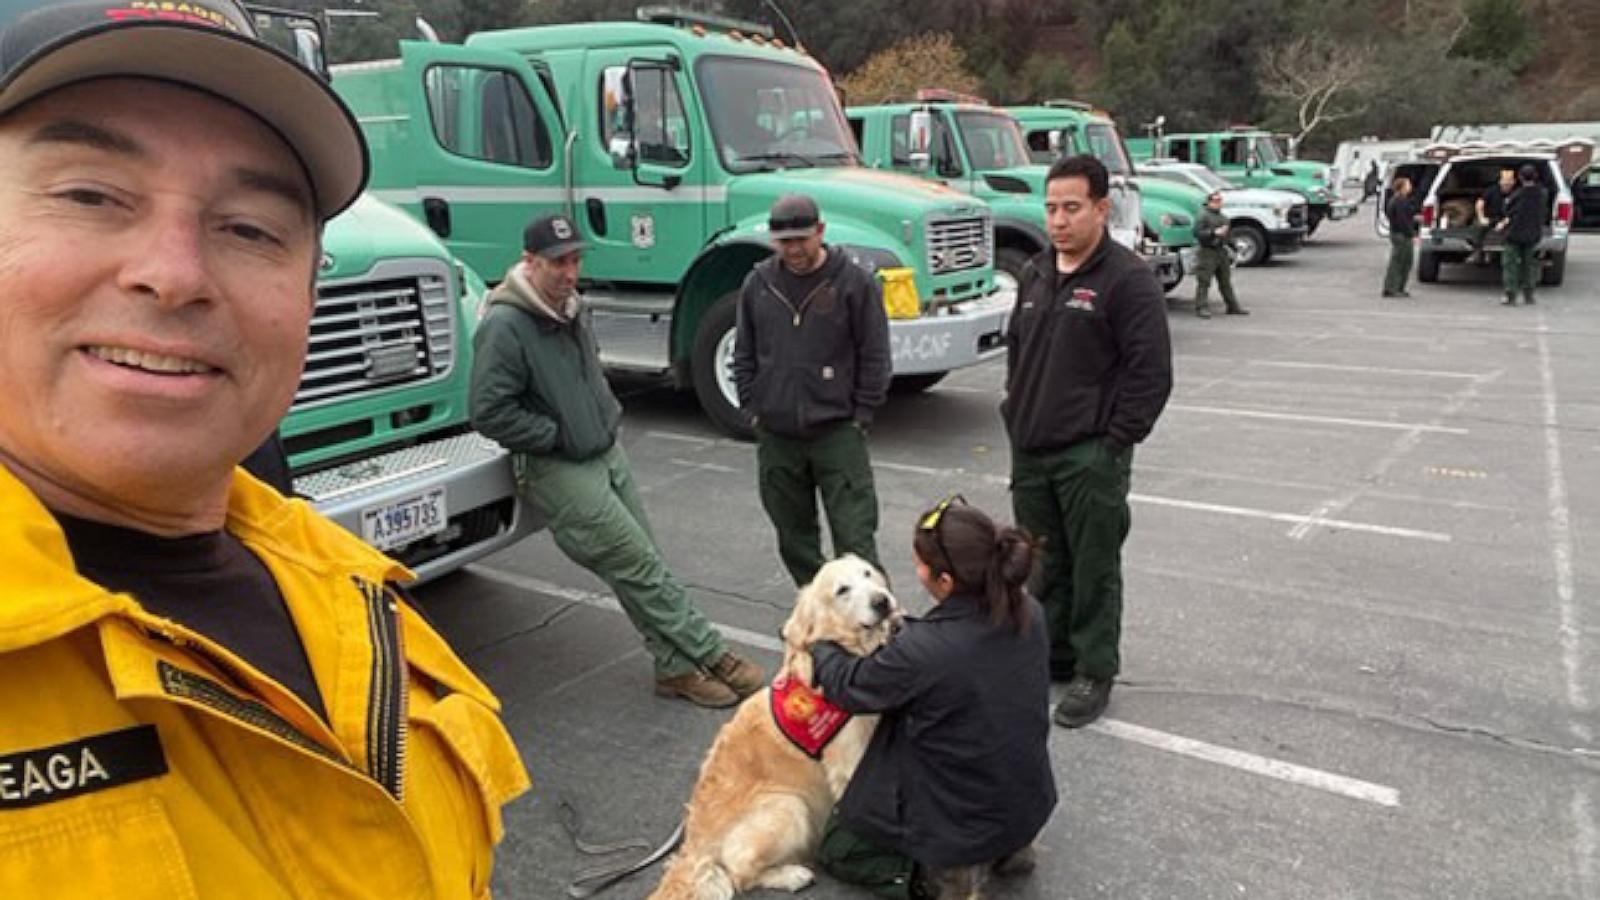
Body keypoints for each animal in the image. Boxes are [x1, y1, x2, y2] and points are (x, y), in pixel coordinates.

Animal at [649, 550, 902, 890]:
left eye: (868, 574)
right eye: (842, 590)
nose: (882, 601)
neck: (848, 652)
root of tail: (694, 845)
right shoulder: (848, 762)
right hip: (788, 804)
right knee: (740, 872)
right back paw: (793, 874)